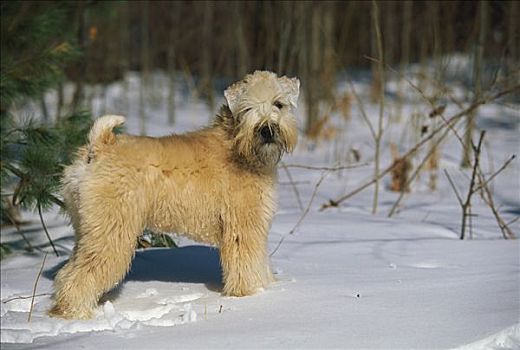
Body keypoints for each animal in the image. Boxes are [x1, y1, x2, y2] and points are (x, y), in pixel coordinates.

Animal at [49, 69, 300, 318]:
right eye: (247, 108)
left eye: (279, 104)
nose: (267, 130)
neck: (237, 146)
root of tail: (98, 147)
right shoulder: (243, 227)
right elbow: (248, 264)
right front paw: (251, 293)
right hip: (112, 231)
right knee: (82, 274)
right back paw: (76, 312)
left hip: (87, 230)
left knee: (69, 269)